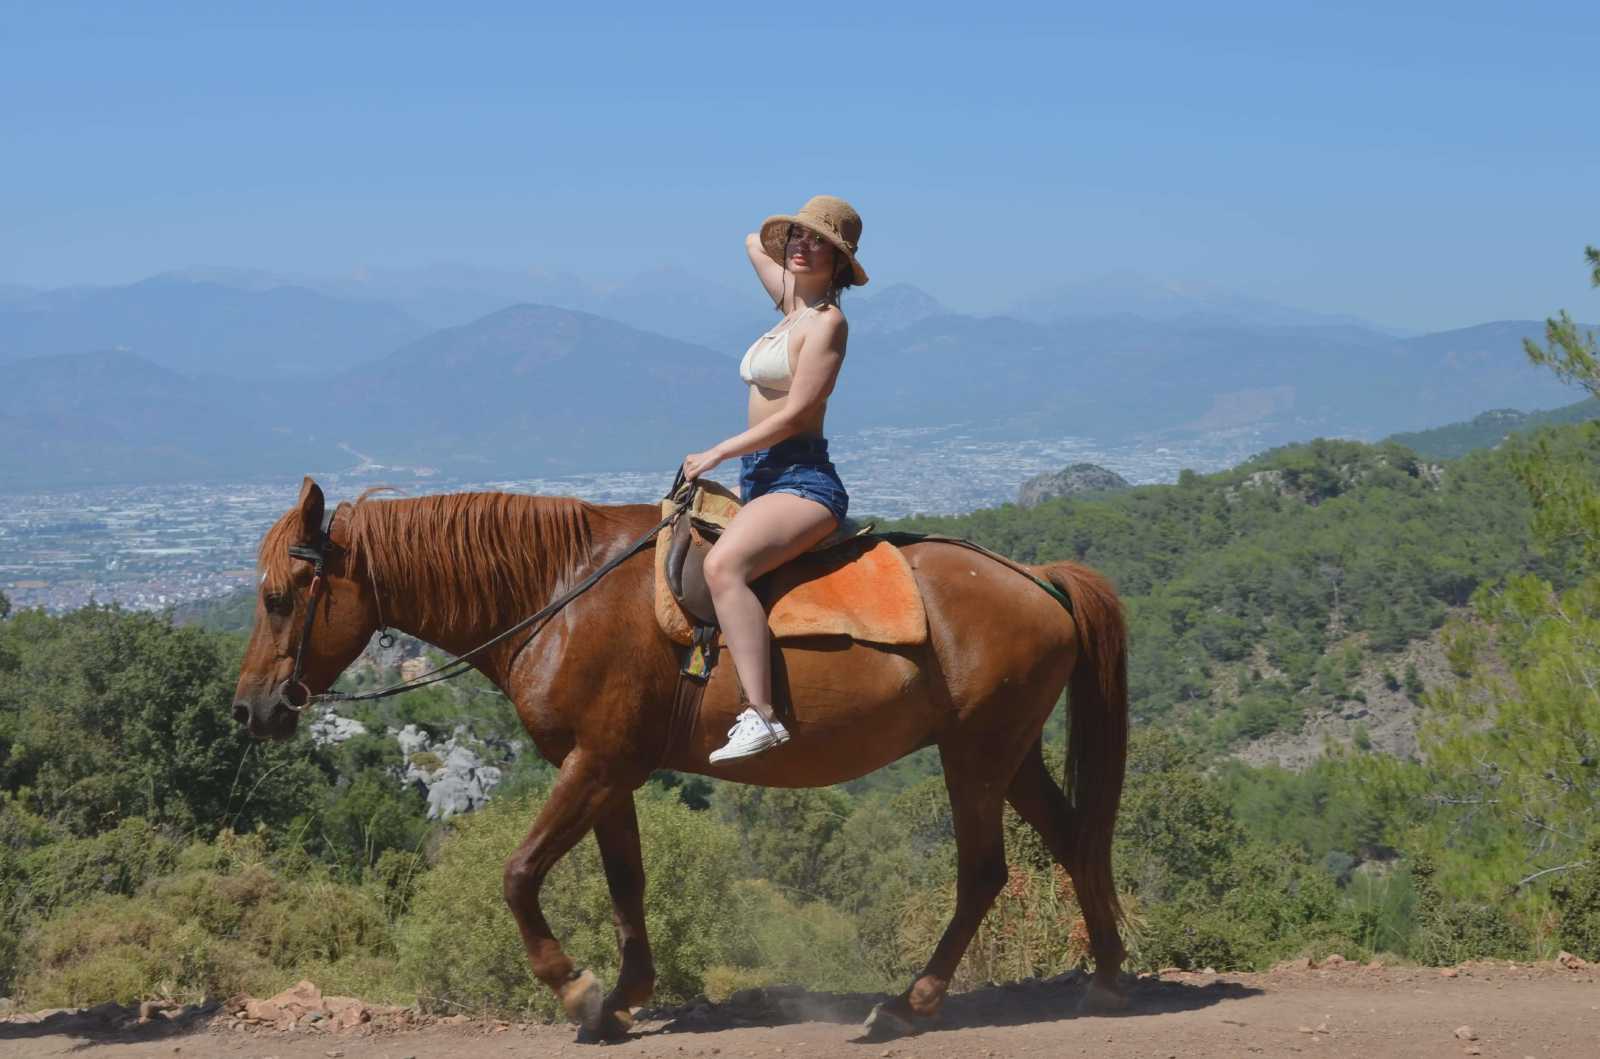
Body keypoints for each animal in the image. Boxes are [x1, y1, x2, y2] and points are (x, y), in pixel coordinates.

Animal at [236, 479, 1132, 1036]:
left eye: (279, 598)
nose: (250, 709)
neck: (561, 594)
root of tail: (1038, 578)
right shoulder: (612, 769)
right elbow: (625, 880)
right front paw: (625, 995)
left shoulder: (595, 764)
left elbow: (519, 874)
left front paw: (579, 990)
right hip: (1006, 752)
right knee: (1074, 839)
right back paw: (1108, 977)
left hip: (974, 754)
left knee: (984, 871)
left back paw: (912, 1004)